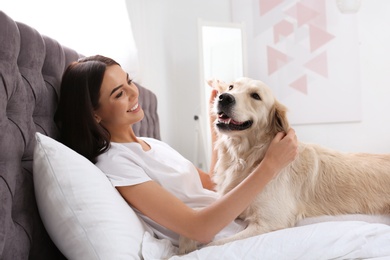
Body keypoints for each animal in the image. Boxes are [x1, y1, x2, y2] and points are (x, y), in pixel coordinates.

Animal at [179, 76, 390, 254]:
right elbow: (198, 218)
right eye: (231, 87)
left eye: (255, 96)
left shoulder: (269, 222)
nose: (223, 97)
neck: (248, 158)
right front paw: (184, 244)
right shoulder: (233, 204)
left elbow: (211, 245)